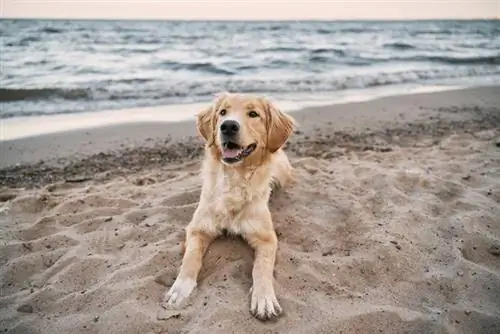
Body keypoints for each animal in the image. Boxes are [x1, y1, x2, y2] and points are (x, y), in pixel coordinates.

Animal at [163, 92, 296, 320]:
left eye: (253, 114)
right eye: (223, 112)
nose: (228, 126)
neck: (234, 178)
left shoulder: (267, 238)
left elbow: (261, 268)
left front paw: (264, 298)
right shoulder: (198, 229)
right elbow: (190, 259)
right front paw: (180, 289)